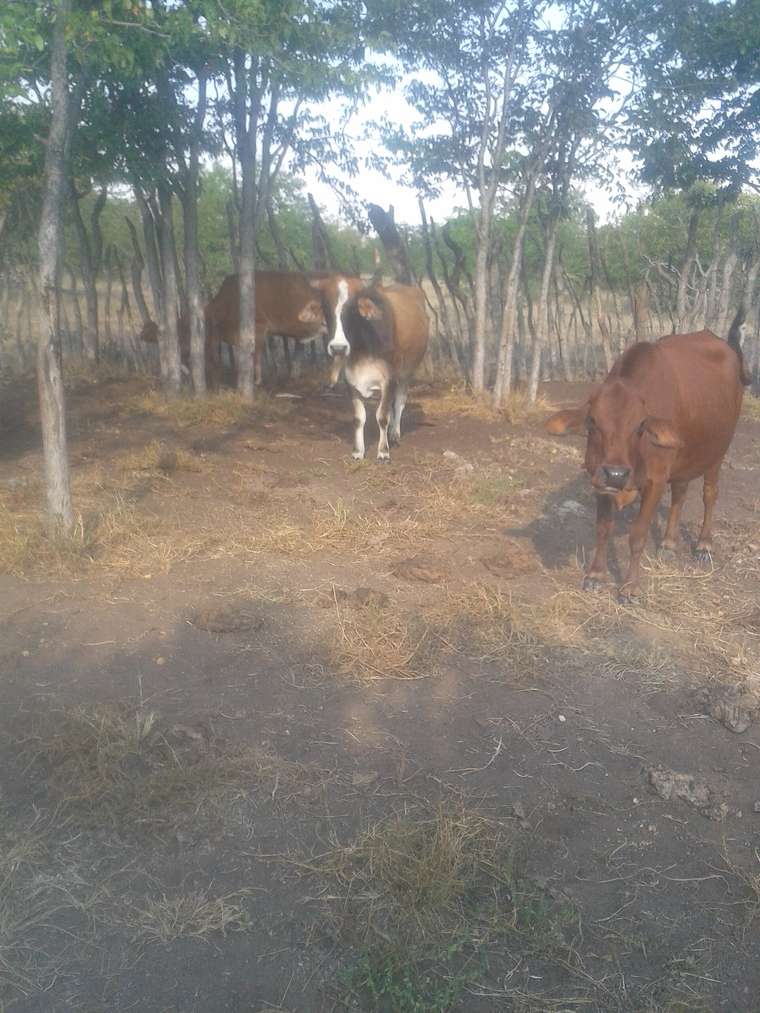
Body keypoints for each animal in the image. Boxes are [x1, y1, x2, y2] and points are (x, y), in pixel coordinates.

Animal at [313, 276, 430, 461]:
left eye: (353, 310)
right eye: (326, 308)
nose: (338, 348)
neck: (363, 348)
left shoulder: (389, 379)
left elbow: (382, 417)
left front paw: (383, 451)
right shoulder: (351, 381)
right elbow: (359, 418)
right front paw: (358, 451)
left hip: (406, 373)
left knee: (400, 402)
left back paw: (395, 434)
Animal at [544, 316, 748, 602]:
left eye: (640, 426)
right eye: (592, 421)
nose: (617, 474)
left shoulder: (656, 481)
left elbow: (637, 535)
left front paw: (630, 587)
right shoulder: (598, 479)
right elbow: (602, 528)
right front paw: (595, 575)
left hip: (717, 452)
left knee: (709, 494)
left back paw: (704, 545)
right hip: (682, 460)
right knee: (680, 493)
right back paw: (669, 543)